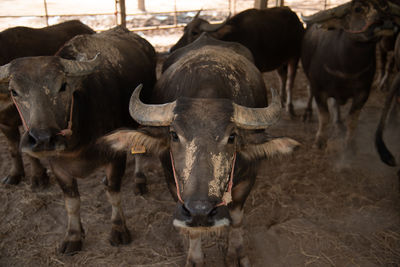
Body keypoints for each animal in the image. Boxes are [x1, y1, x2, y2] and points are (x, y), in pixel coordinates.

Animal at [0, 19, 95, 187]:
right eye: (14, 91)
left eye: (62, 86)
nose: (43, 138)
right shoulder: (4, 123)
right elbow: (13, 149)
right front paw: (14, 175)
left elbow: (29, 152)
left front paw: (38, 177)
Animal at [101, 33, 298, 267]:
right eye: (174, 135)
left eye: (232, 137)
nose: (200, 211)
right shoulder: (173, 183)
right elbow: (193, 230)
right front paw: (195, 259)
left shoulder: (248, 178)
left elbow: (237, 219)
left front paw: (237, 253)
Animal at [168, 7, 304, 118]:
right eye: (184, 29)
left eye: (194, 32)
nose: (172, 49)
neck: (237, 34)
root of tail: (297, 21)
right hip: (281, 62)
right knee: (283, 77)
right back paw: (282, 100)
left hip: (295, 57)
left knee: (290, 81)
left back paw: (290, 108)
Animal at [302, 0, 400, 151]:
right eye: (358, 9)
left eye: (385, 7)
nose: (387, 21)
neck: (346, 69)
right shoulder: (319, 90)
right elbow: (324, 117)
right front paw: (319, 141)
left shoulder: (363, 93)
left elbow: (352, 119)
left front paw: (350, 144)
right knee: (309, 91)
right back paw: (307, 113)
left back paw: (338, 122)